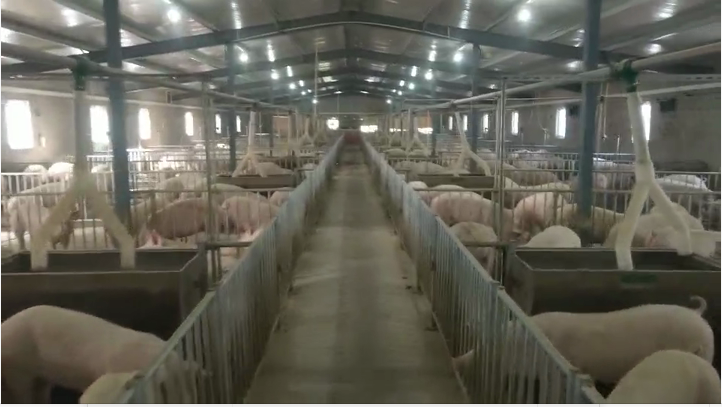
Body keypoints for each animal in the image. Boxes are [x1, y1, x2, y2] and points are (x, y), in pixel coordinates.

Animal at [1, 305, 201, 404]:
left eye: (192, 387)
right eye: (171, 389)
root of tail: (4, 326)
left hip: (42, 376)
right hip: (18, 369)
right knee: (22, 393)